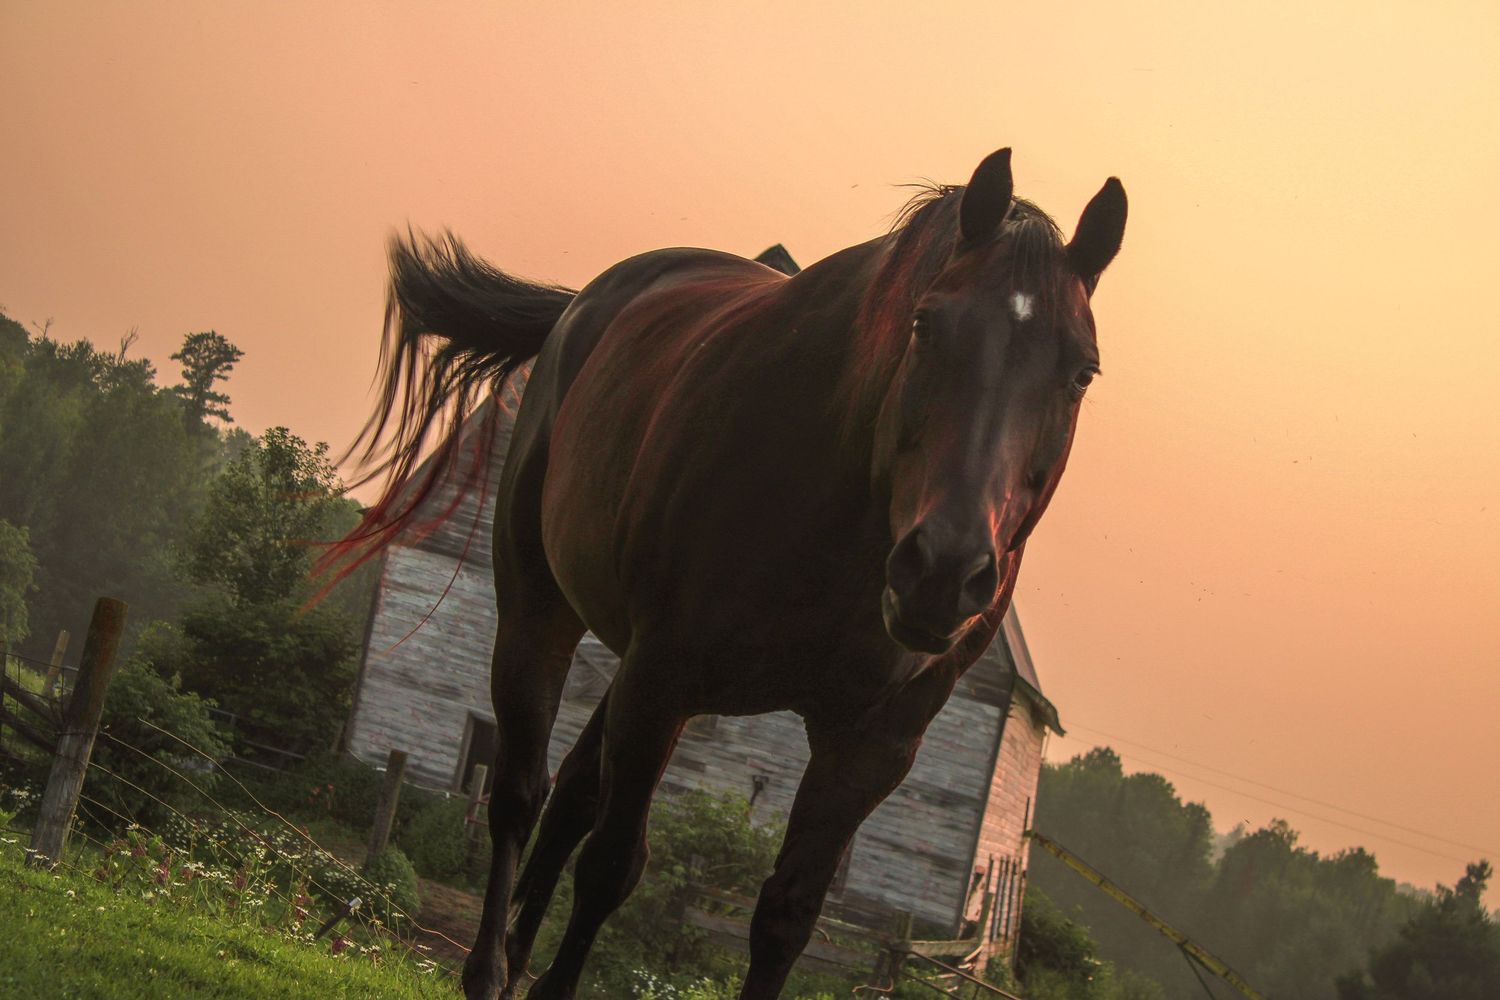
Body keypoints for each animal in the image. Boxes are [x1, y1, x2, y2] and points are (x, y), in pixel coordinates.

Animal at [335, 148, 1126, 999]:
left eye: (1082, 372)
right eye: (925, 323)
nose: (944, 570)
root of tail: (585, 305)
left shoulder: (871, 744)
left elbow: (787, 915)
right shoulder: (665, 676)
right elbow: (613, 865)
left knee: (570, 794)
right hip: (538, 607)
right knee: (521, 790)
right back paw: (488, 971)